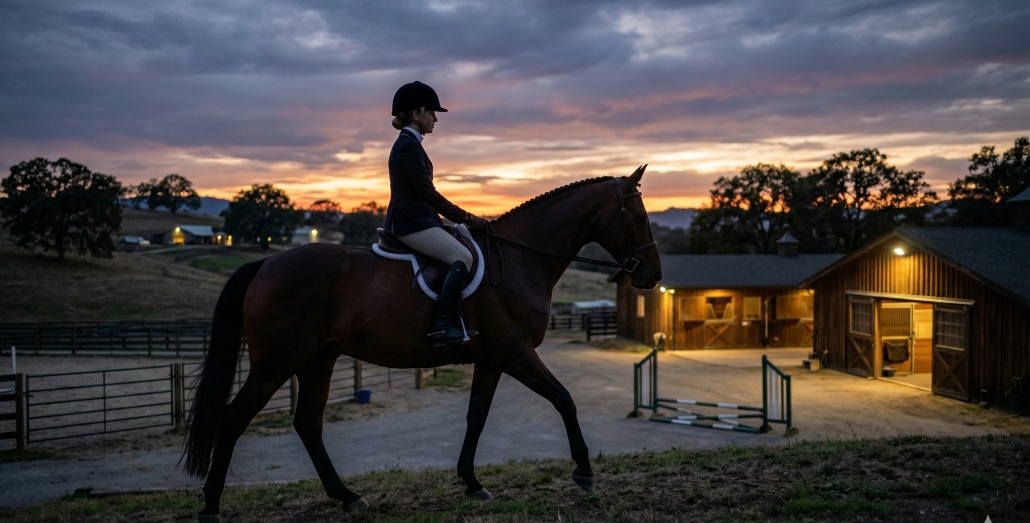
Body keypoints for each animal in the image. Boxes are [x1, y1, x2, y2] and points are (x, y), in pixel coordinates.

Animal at [183, 166, 662, 521]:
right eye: (639, 216)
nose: (652, 276)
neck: (521, 259)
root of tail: (265, 264)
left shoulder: (492, 358)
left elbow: (476, 416)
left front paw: (472, 482)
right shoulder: (516, 353)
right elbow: (564, 399)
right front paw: (584, 470)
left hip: (318, 358)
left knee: (307, 423)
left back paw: (348, 496)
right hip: (277, 362)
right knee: (234, 419)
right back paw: (211, 507)